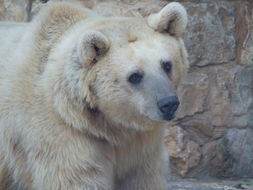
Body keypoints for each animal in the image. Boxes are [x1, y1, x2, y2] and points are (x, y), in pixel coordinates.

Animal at [0, 1, 188, 190]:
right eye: (135, 76)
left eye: (167, 65)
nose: (169, 104)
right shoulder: (62, 135)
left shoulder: (141, 146)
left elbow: (142, 177)